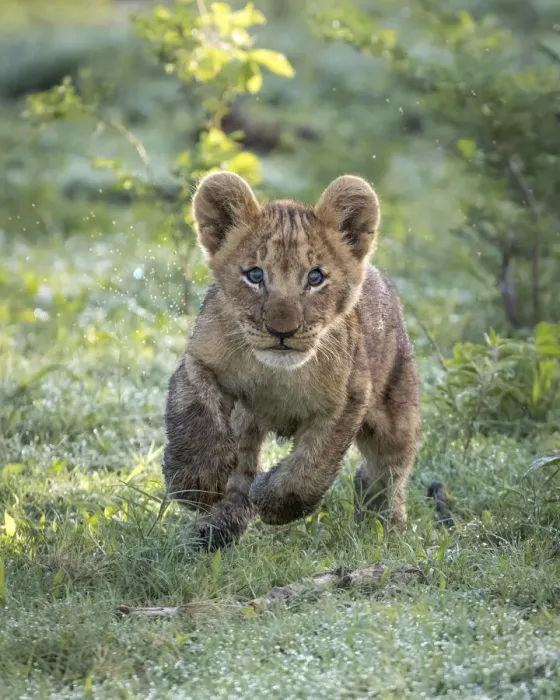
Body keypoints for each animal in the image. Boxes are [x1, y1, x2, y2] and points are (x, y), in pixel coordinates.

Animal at [163, 171, 421, 549]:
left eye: (315, 278)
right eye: (255, 275)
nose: (281, 331)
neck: (277, 375)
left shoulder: (348, 398)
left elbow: (312, 467)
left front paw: (274, 503)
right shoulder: (200, 361)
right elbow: (196, 411)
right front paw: (196, 482)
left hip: (397, 412)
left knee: (388, 471)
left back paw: (386, 527)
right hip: (244, 421)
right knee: (241, 470)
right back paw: (215, 530)